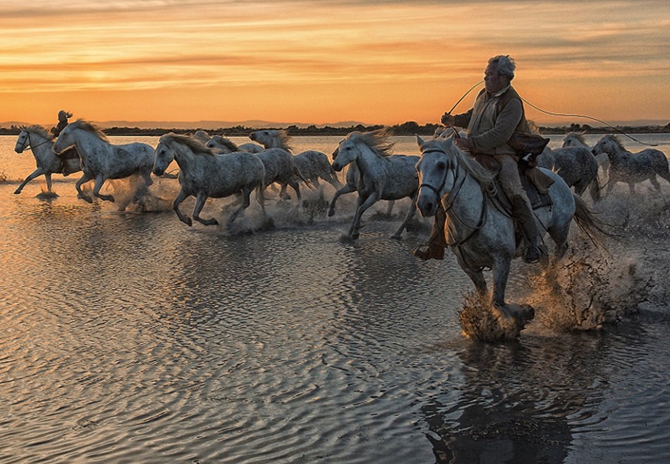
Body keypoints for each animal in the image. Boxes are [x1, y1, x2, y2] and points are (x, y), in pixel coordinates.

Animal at [418, 130, 608, 320]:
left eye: (441, 165)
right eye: (418, 167)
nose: (424, 204)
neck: (474, 216)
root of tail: (560, 180)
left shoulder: (502, 261)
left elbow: (497, 302)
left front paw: (524, 312)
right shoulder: (469, 267)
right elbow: (486, 301)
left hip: (559, 229)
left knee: (561, 249)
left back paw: (551, 280)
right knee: (544, 253)